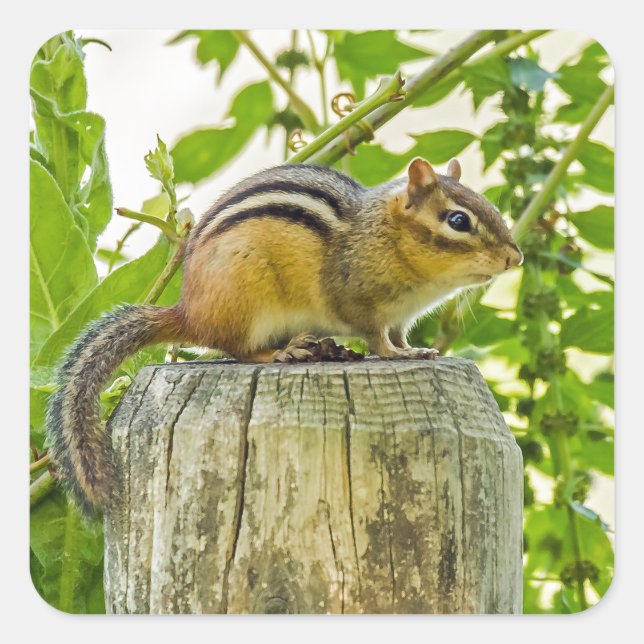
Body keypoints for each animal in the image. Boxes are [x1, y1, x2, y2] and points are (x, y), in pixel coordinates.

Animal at [46, 156, 522, 514]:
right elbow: (377, 339)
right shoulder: (360, 304)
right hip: (248, 301)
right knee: (237, 350)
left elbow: (400, 336)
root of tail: (188, 312)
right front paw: (396, 356)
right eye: (458, 220)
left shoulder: (401, 317)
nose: (515, 258)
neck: (388, 237)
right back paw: (283, 353)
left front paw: (417, 350)